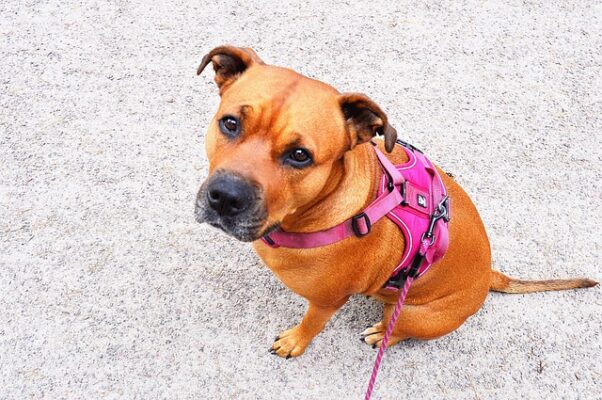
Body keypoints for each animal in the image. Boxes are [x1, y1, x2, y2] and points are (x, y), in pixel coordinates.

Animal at [193, 45, 596, 358]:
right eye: (230, 123)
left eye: (299, 155)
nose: (225, 197)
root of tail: (488, 277)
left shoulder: (327, 302)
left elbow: (311, 324)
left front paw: (295, 341)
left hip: (415, 314)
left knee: (396, 326)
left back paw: (381, 333)